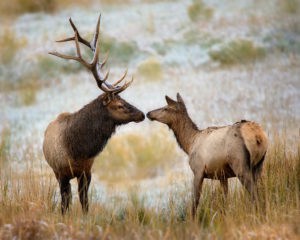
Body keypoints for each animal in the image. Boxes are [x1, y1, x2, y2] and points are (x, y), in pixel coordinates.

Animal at [43, 15, 144, 214]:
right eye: (120, 105)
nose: (142, 114)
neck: (77, 149)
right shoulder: (62, 172)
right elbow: (65, 204)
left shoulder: (86, 171)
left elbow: (84, 202)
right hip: (56, 172)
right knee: (66, 199)